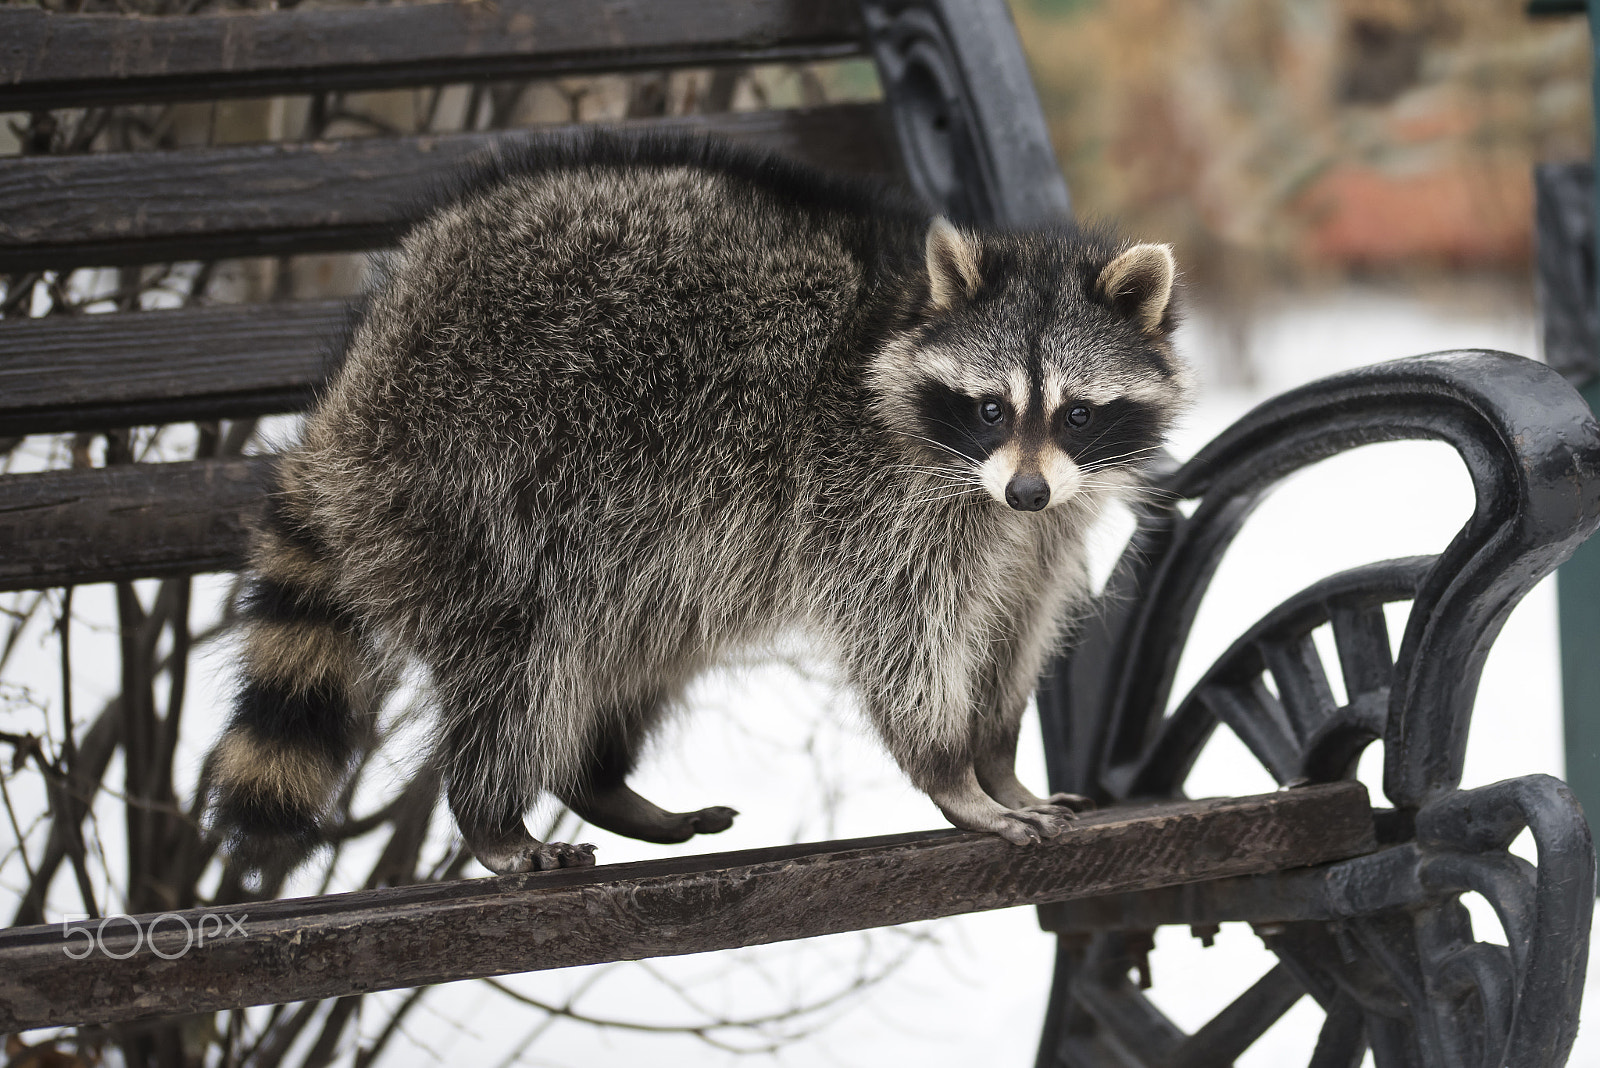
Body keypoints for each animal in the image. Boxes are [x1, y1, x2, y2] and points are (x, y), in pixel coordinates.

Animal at [205, 132, 1188, 876]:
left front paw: (997, 757)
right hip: (473, 479)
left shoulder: (1043, 531)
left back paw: (598, 781)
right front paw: (951, 773)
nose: (1025, 488)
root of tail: (355, 388)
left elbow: (1016, 633)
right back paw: (491, 813)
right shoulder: (868, 494)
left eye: (1077, 412)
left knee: (634, 650)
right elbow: (903, 635)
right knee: (518, 656)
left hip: (637, 543)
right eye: (989, 409)